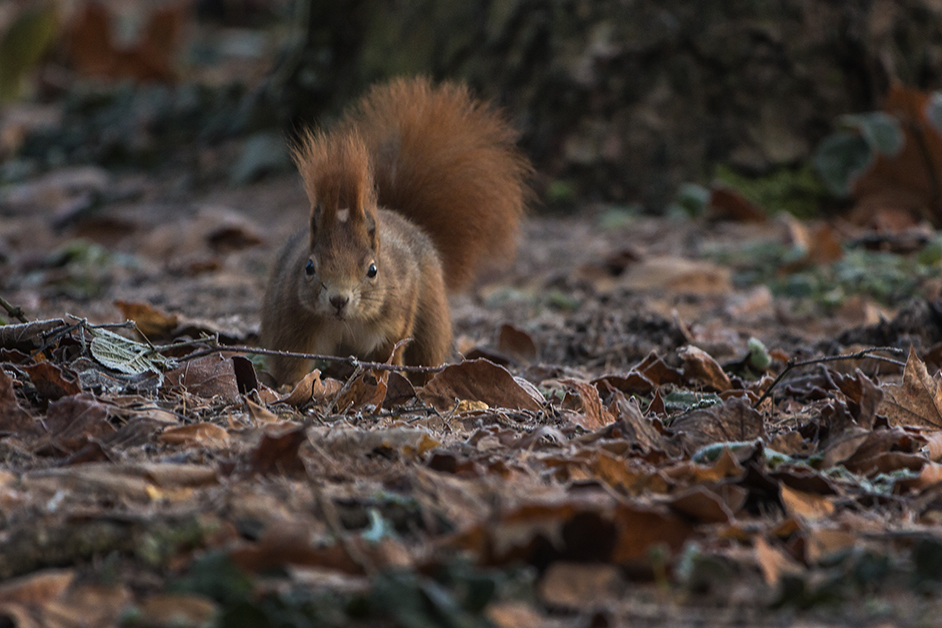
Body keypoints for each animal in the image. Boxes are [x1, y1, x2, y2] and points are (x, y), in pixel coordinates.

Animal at [260, 77, 532, 382]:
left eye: (373, 270)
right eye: (309, 267)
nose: (338, 300)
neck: (346, 323)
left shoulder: (397, 315)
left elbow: (388, 354)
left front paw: (381, 381)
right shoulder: (289, 322)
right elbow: (290, 361)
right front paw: (291, 386)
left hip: (431, 314)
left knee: (426, 351)